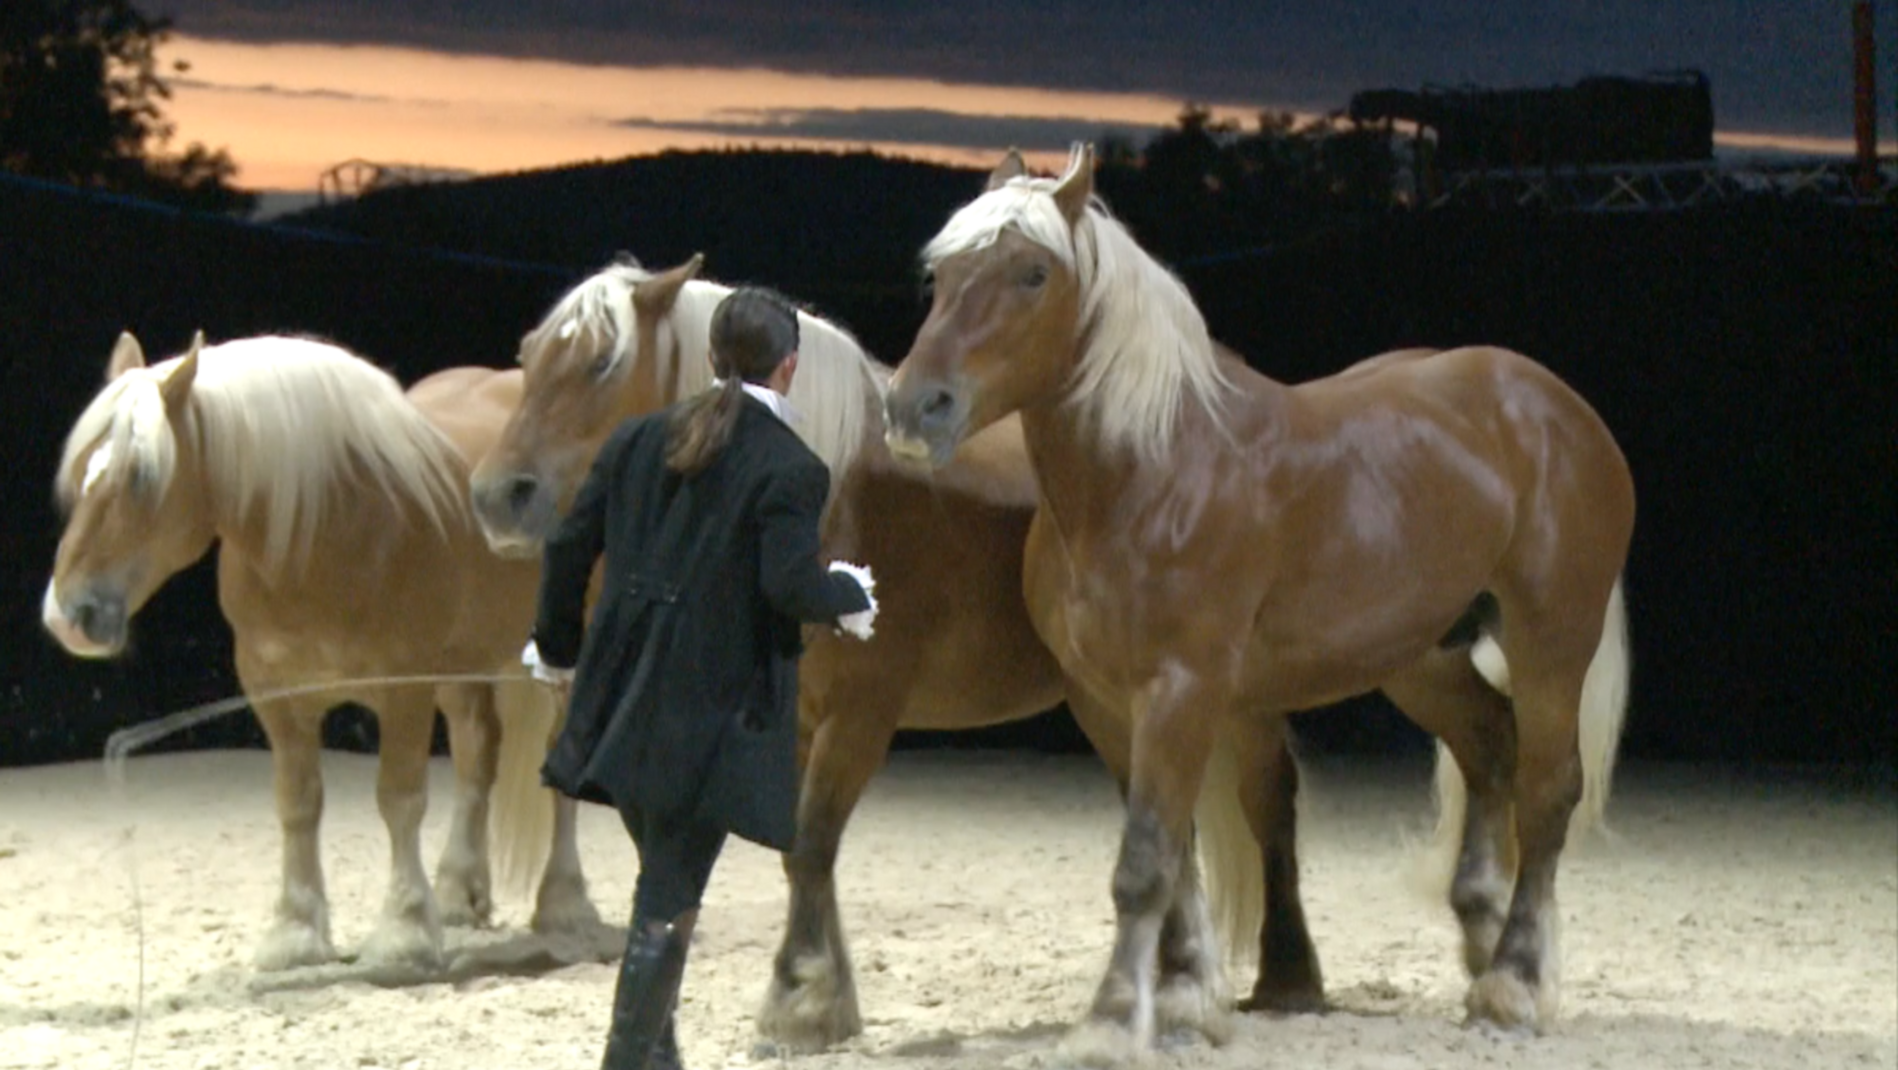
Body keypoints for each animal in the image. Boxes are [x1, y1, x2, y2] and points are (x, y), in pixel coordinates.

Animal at [41, 331, 602, 973]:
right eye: (80, 469)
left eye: (139, 475)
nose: (68, 616)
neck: (330, 531)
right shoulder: (276, 697)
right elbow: (298, 805)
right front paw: (296, 930)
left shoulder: (404, 689)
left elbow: (399, 799)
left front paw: (404, 931)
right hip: (465, 666)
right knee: (476, 755)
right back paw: (459, 893)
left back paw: (563, 902)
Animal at [882, 144, 1635, 1063]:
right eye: (941, 273)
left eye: (1032, 273)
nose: (916, 407)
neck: (1152, 473)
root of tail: (1560, 408)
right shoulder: (1105, 702)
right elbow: (1174, 857)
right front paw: (1181, 1000)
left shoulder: (1182, 688)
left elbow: (1145, 863)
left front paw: (1111, 1022)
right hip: (1420, 657)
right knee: (1491, 748)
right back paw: (1483, 945)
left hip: (1550, 640)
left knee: (1548, 788)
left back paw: (1514, 983)